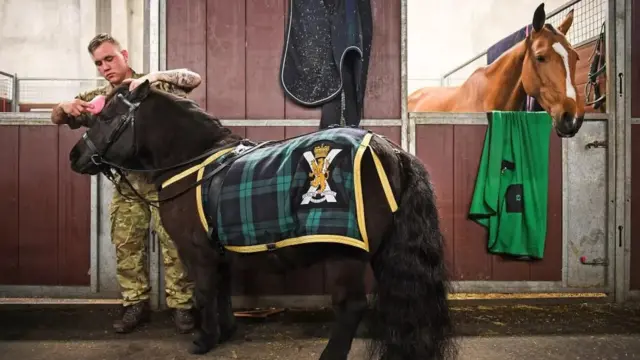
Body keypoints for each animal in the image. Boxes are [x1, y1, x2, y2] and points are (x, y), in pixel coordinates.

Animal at [69, 80, 456, 358]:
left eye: (106, 117)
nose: (75, 155)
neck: (195, 161)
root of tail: (391, 150)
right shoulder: (219, 251)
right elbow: (222, 292)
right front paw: (224, 332)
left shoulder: (198, 253)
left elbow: (205, 293)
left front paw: (203, 340)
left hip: (345, 253)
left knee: (351, 307)